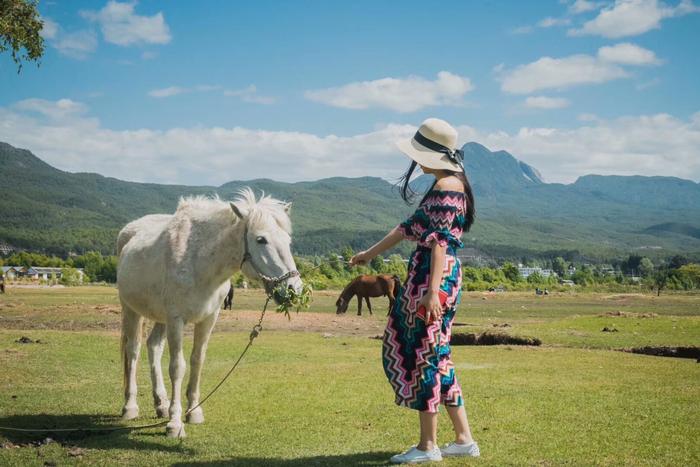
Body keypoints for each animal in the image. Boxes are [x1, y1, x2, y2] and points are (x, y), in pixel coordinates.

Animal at [116, 188, 302, 436]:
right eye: (261, 239)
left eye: (288, 240)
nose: (293, 289)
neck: (199, 261)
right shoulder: (176, 320)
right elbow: (177, 367)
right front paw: (175, 423)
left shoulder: (208, 319)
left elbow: (197, 361)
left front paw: (193, 411)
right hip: (131, 310)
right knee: (133, 351)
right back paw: (130, 406)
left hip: (160, 318)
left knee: (153, 347)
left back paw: (161, 404)